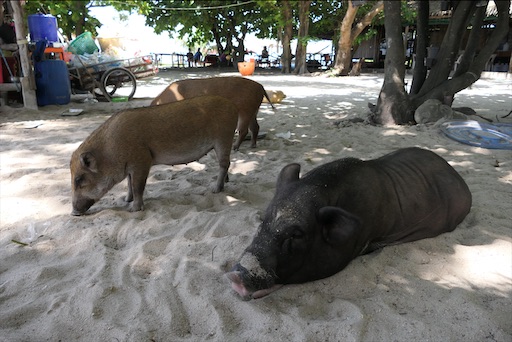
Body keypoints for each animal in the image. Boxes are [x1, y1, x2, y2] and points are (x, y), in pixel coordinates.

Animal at [69, 95, 239, 215]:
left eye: (79, 179)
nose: (73, 213)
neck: (110, 151)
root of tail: (232, 105)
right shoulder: (131, 167)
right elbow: (129, 184)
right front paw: (126, 200)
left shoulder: (142, 161)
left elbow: (137, 186)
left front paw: (133, 210)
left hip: (224, 137)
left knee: (225, 163)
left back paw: (215, 190)